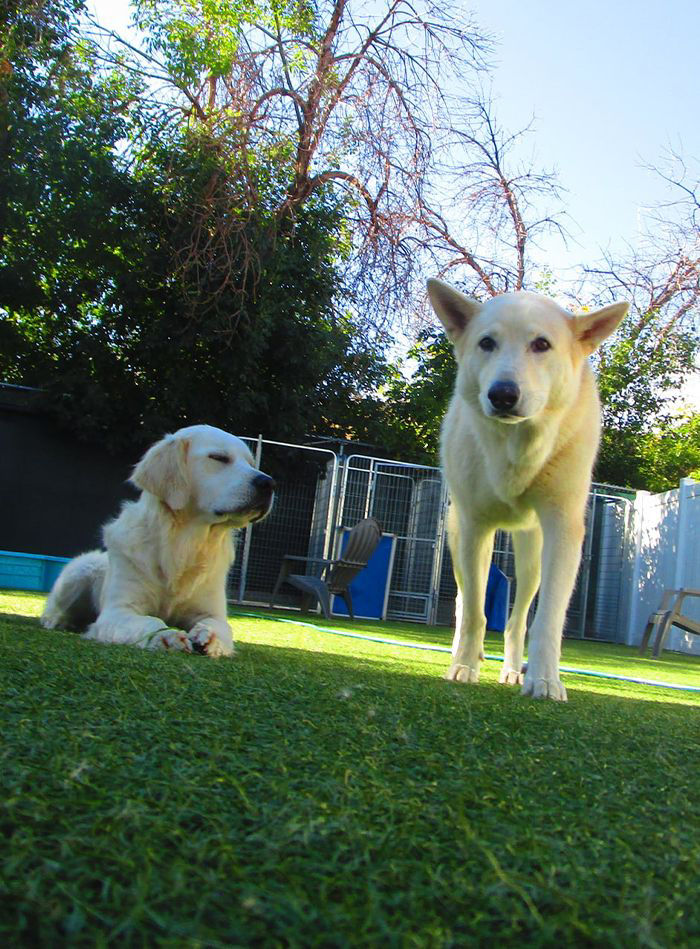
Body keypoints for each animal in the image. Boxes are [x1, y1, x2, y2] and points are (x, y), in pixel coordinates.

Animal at [40, 426, 276, 656]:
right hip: (81, 570)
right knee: (54, 608)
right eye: (218, 458)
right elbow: (150, 622)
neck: (184, 544)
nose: (269, 483)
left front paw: (209, 638)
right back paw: (57, 621)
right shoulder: (118, 611)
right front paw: (167, 636)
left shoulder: (212, 612)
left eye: (251, 463)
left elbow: (217, 626)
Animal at [426, 278, 628, 700]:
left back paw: (512, 671)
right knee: (465, 601)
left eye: (541, 344)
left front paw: (545, 680)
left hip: (532, 554)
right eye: (487, 343)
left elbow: (547, 619)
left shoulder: (563, 528)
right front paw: (464, 667)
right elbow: (475, 612)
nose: (503, 394)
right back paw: (462, 654)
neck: (517, 447)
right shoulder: (475, 528)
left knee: (517, 619)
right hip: (460, 540)